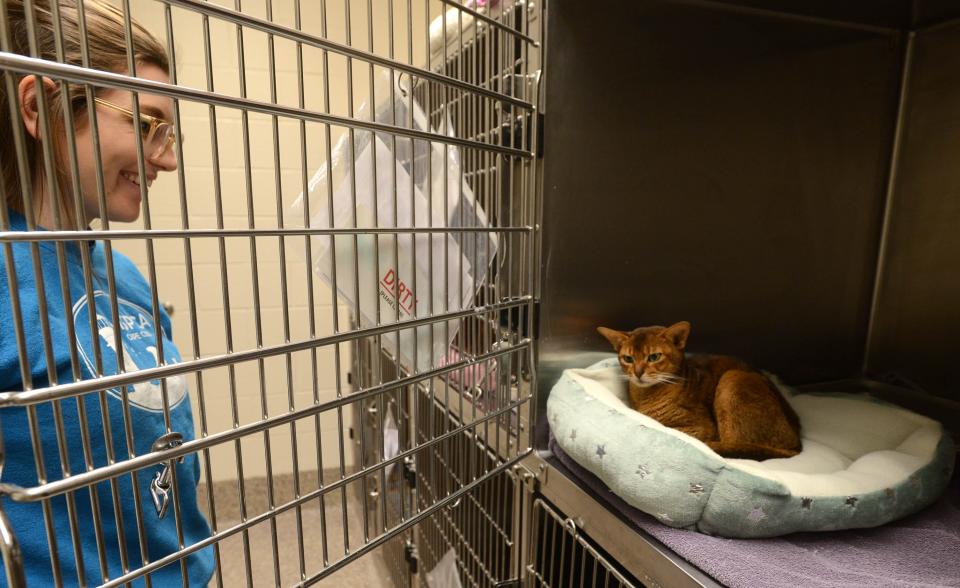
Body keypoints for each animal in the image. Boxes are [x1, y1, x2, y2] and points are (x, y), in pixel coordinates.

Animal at [596, 322, 800, 460]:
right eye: (628, 359)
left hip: (732, 378)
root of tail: (797, 443)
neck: (646, 397)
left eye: (654, 357)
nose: (638, 373)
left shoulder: (701, 427)